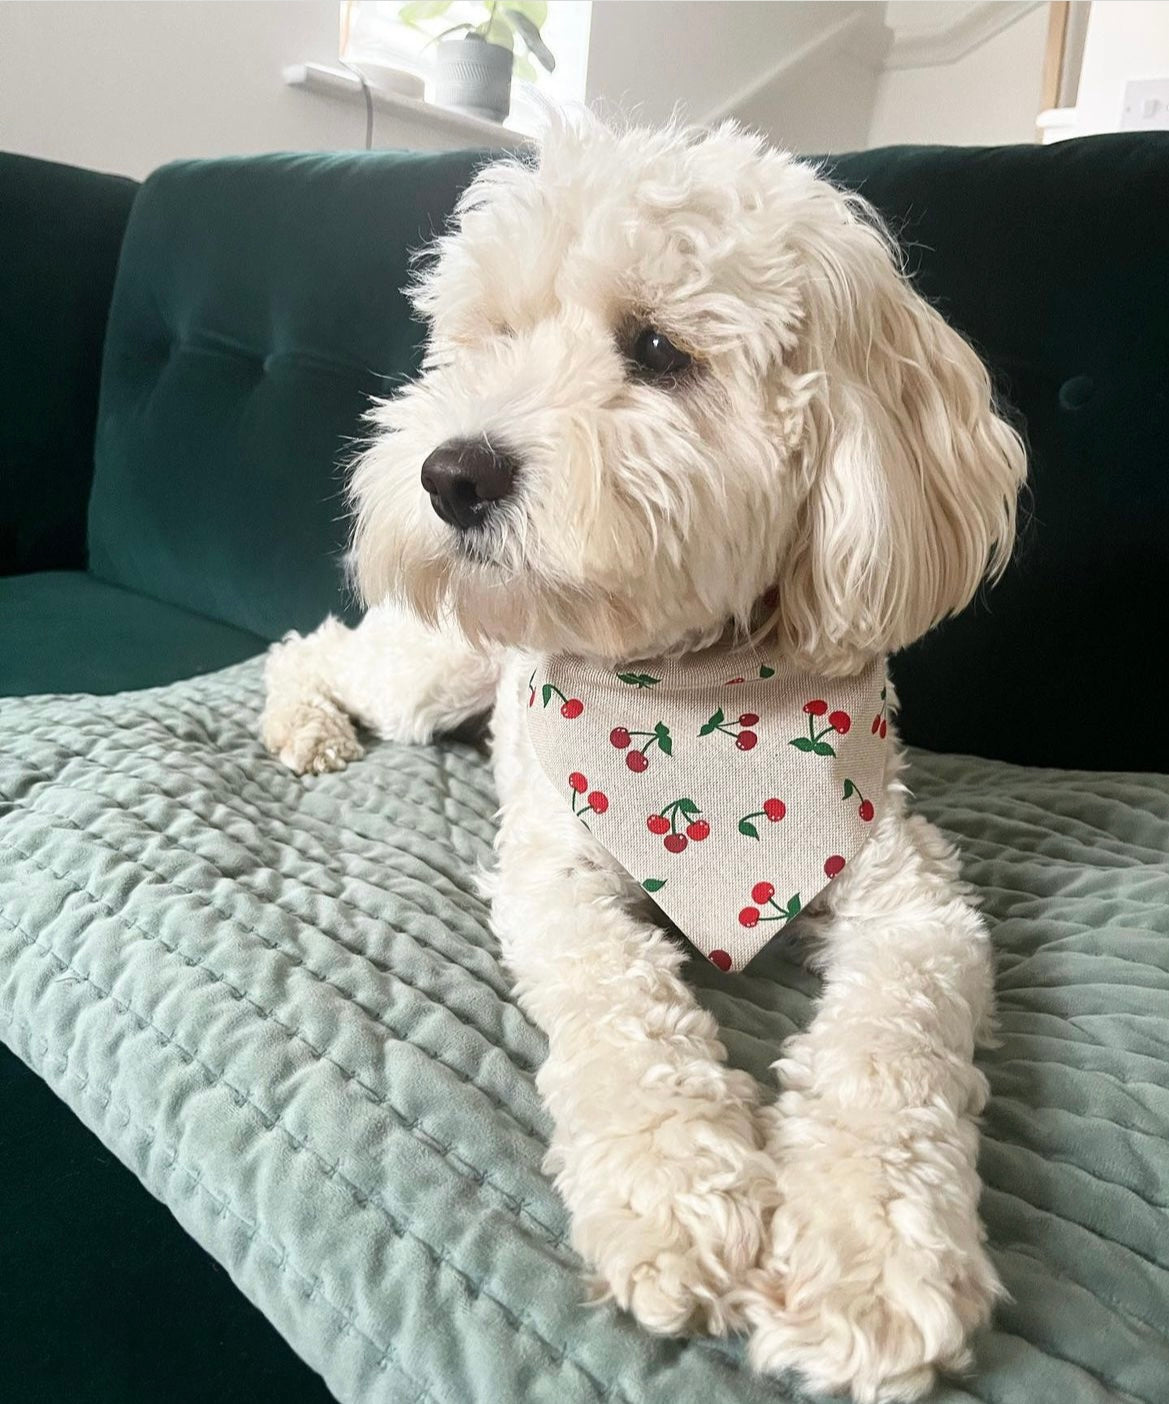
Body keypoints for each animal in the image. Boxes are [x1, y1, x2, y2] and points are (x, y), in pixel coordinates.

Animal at [262, 123, 1021, 1404]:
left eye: (658, 350)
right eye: (490, 336)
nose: (449, 474)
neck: (693, 702)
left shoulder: (912, 895)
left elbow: (890, 1052)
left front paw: (867, 1258)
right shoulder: (556, 876)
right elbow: (622, 1010)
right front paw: (675, 1194)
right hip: (436, 675)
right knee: (308, 649)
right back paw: (301, 727)